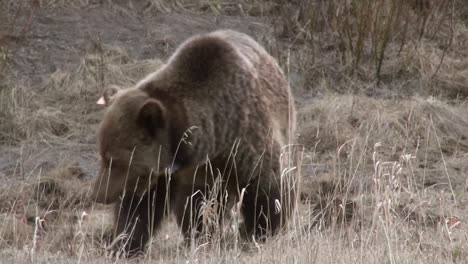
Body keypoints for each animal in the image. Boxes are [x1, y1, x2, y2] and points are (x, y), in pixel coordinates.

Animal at [90, 28, 298, 256]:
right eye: (102, 154)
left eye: (114, 160)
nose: (97, 194)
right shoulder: (169, 174)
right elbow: (142, 207)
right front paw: (124, 244)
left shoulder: (243, 139)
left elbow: (267, 187)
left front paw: (259, 231)